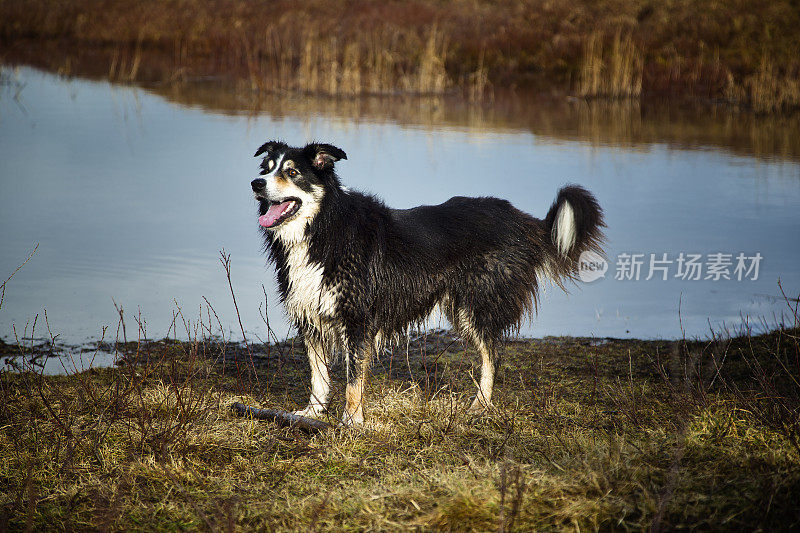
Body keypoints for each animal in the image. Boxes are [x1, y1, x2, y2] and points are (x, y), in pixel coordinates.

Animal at [248, 140, 600, 424]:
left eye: (292, 172)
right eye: (266, 169)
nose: (255, 183)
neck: (322, 228)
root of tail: (525, 221)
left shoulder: (357, 319)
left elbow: (353, 380)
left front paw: (351, 421)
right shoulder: (310, 316)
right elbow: (318, 374)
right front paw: (313, 412)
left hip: (478, 305)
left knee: (493, 356)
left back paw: (480, 406)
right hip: (461, 309)